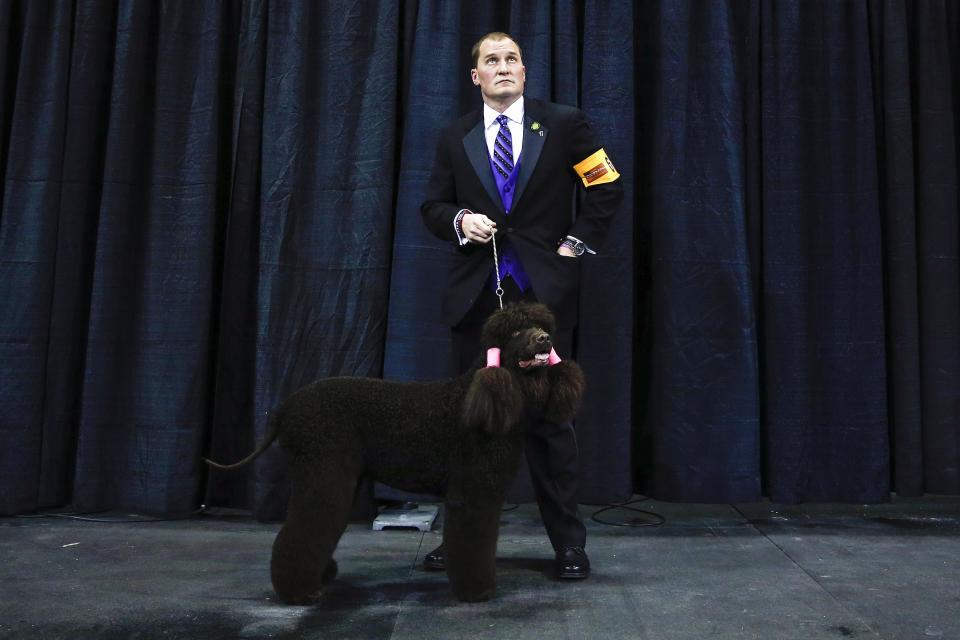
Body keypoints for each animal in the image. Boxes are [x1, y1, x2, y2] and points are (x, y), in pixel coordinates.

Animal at [206, 302, 584, 604]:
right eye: (517, 330)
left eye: (544, 327)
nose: (545, 340)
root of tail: (286, 408)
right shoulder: (473, 493)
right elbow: (473, 541)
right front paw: (477, 591)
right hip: (324, 473)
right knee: (302, 530)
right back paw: (300, 592)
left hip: (337, 478)